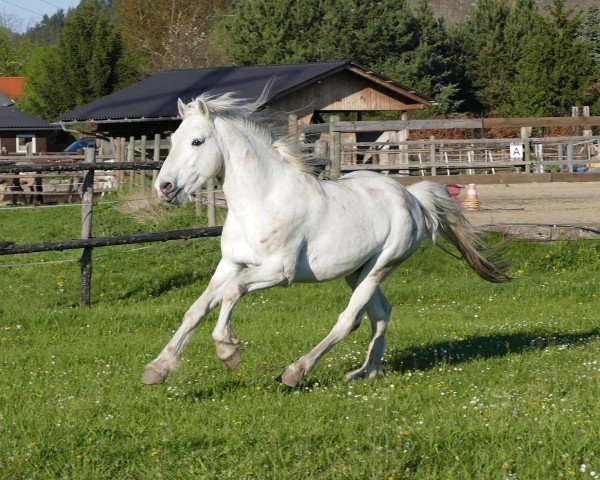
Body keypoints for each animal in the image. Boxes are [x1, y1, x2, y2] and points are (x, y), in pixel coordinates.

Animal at [142, 93, 510, 386]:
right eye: (173, 140)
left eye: (197, 142)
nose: (164, 188)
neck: (262, 200)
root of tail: (412, 197)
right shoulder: (232, 263)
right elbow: (197, 309)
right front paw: (157, 369)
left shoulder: (279, 271)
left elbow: (231, 294)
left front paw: (227, 350)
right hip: (357, 271)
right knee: (380, 313)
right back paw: (366, 372)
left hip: (382, 264)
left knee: (349, 320)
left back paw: (295, 373)